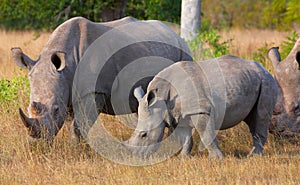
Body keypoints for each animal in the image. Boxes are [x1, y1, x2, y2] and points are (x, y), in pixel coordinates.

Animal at [11, 16, 192, 143]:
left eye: (56, 110)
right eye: (28, 107)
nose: (36, 143)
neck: (66, 66)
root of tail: (177, 35)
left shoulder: (93, 92)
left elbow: (79, 125)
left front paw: (76, 149)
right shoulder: (67, 90)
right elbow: (71, 123)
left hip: (183, 52)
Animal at [123, 55, 278, 158]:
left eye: (144, 135)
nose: (134, 158)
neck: (160, 99)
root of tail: (263, 67)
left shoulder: (200, 110)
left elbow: (206, 134)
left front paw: (217, 159)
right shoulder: (177, 114)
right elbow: (185, 138)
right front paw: (183, 158)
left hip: (266, 80)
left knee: (260, 116)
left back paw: (253, 156)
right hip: (250, 80)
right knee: (252, 118)